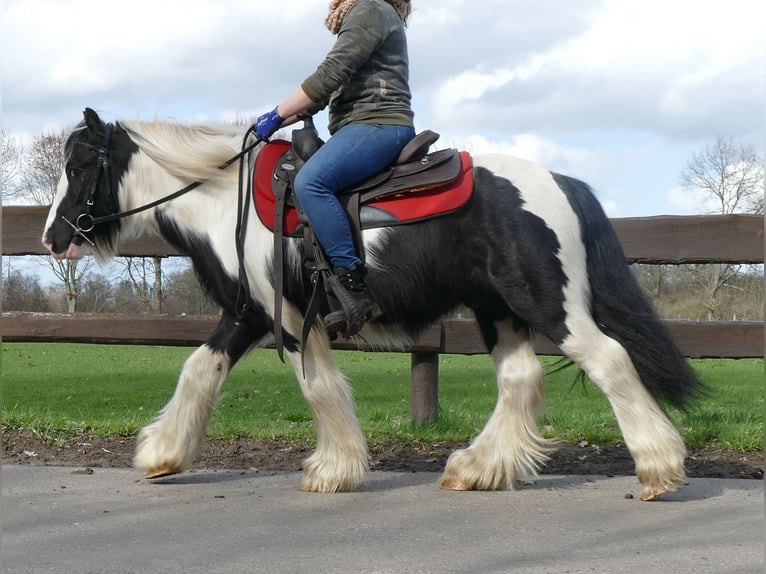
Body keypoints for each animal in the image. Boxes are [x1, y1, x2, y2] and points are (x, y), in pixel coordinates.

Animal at [42, 109, 704, 504]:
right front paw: (163, 454)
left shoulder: (291, 319)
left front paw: (334, 468)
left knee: (610, 360)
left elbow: (317, 386)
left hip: (547, 303)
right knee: (521, 379)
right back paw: (475, 468)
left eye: (78, 165)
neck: (224, 199)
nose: (52, 237)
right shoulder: (247, 314)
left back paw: (658, 469)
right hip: (498, 308)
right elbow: (198, 370)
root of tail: (561, 181)